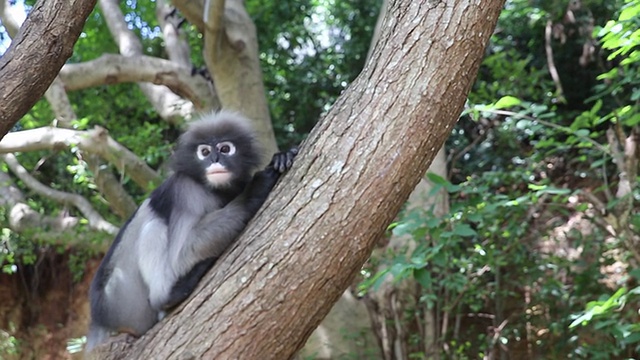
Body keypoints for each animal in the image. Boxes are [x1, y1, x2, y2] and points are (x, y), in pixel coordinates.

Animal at [85, 110, 298, 352]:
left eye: (225, 149)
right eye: (204, 152)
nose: (215, 160)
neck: (213, 188)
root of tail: (99, 320)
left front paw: (282, 156)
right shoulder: (186, 190)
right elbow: (181, 253)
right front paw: (256, 187)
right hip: (124, 300)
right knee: (152, 225)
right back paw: (170, 294)